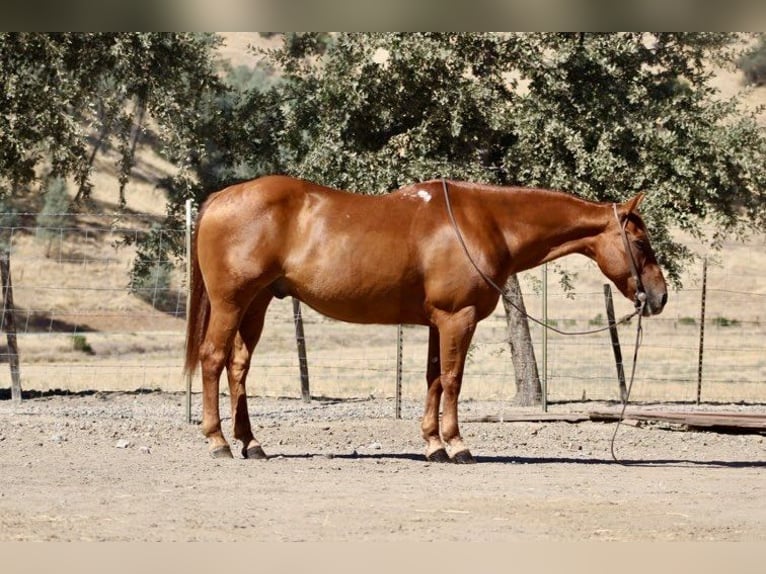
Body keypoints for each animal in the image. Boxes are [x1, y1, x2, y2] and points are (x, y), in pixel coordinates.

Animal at [183, 174, 668, 464]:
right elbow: (453, 379)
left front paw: (433, 444)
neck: (486, 223)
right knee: (212, 359)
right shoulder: (458, 318)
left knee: (238, 367)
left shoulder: (439, 322)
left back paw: (251, 442)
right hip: (231, 303)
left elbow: (434, 378)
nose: (660, 297)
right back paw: (219, 441)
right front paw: (457, 445)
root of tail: (219, 198)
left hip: (258, 304)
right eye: (640, 243)